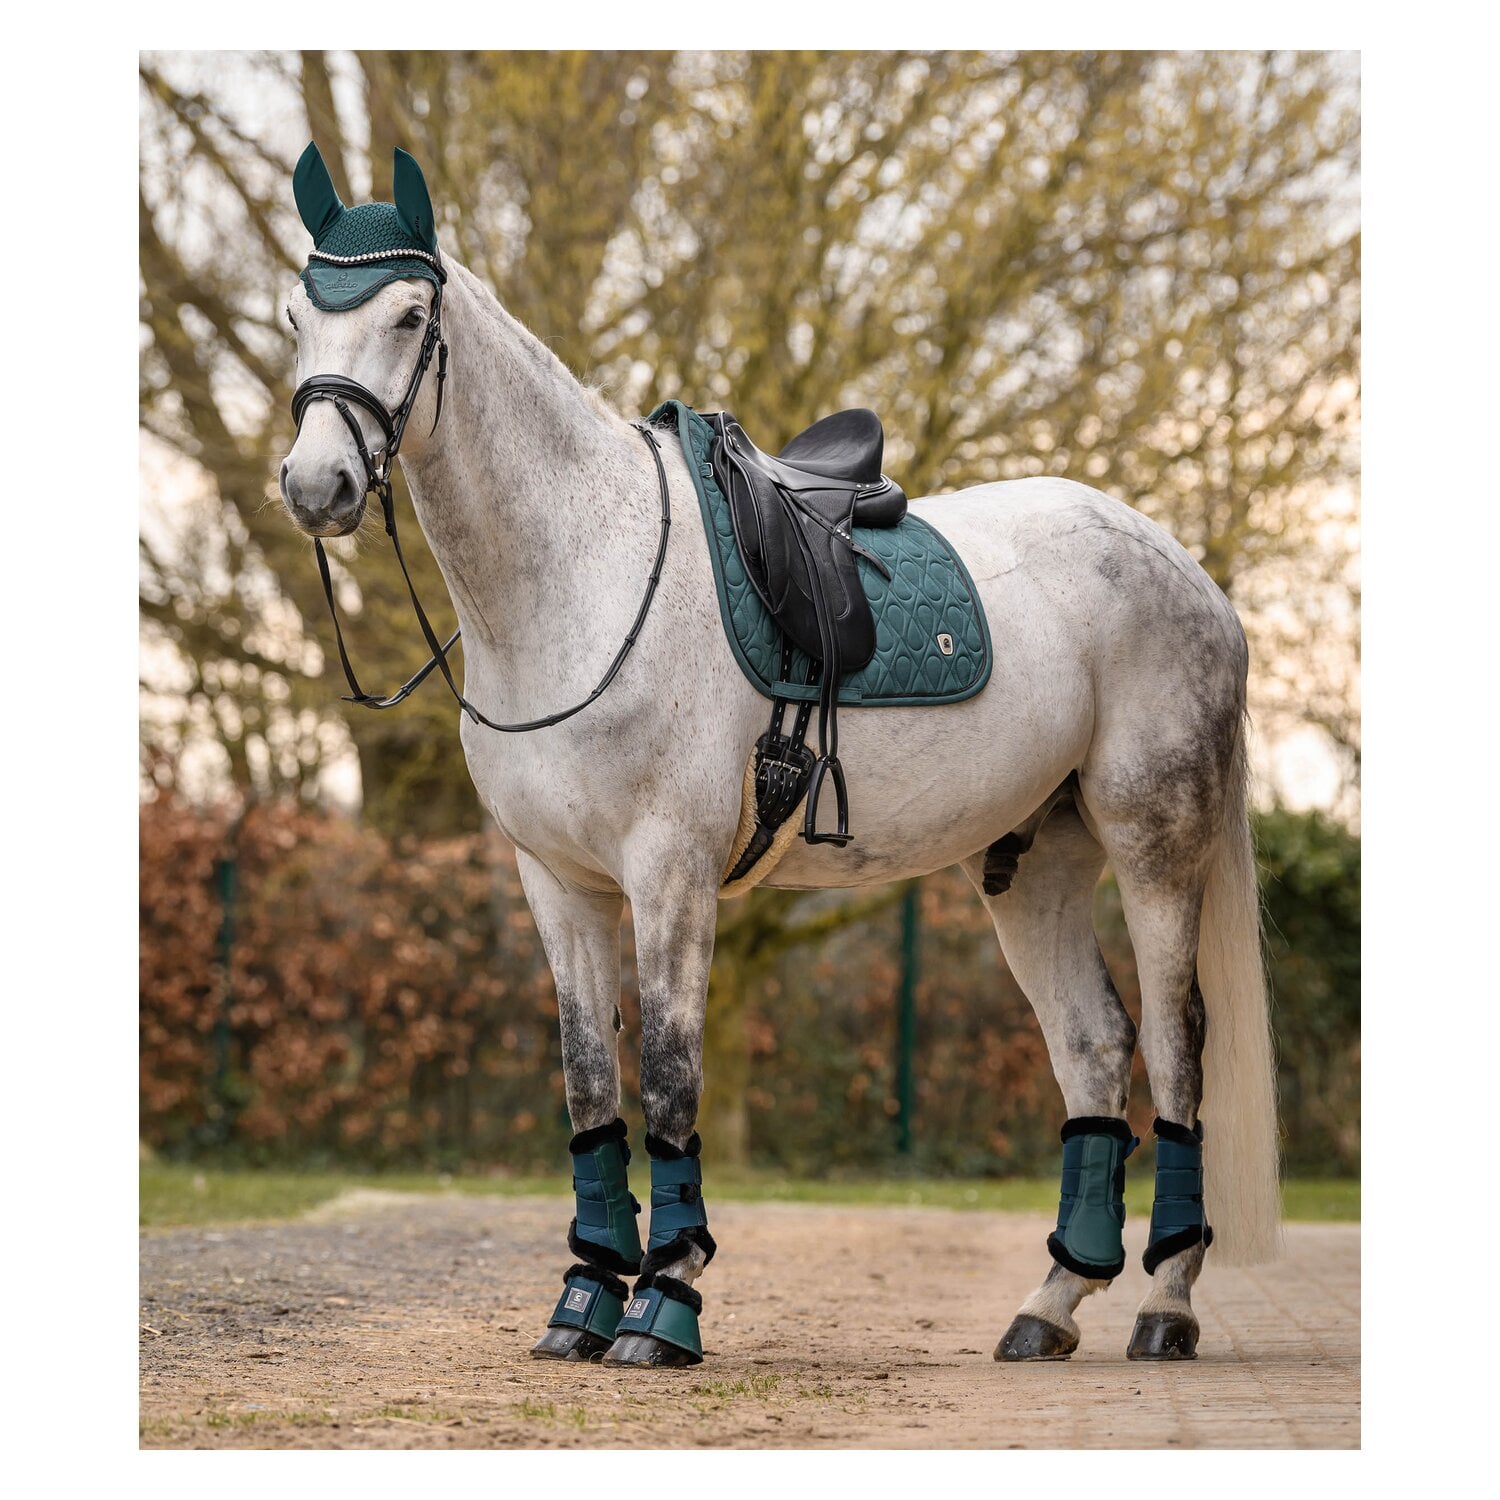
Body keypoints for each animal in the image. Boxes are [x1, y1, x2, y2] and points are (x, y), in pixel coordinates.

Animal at [276, 145, 1280, 1369]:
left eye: (411, 314)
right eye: (296, 316)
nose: (314, 486)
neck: (578, 578)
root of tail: (1183, 567)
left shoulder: (669, 873)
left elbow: (668, 1079)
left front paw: (665, 1302)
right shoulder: (558, 884)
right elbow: (588, 1089)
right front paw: (583, 1301)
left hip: (1153, 842)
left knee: (1179, 1046)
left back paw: (1165, 1303)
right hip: (1035, 863)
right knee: (1094, 1048)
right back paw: (1048, 1306)